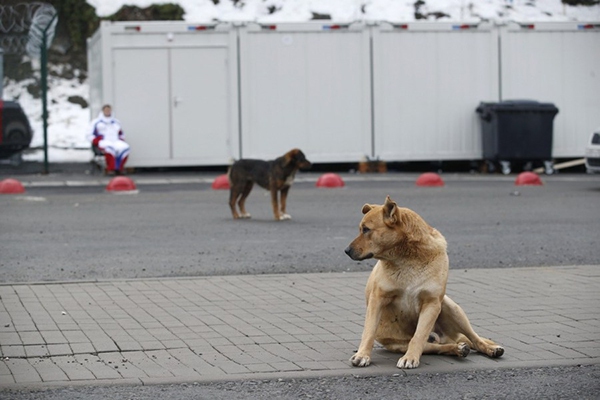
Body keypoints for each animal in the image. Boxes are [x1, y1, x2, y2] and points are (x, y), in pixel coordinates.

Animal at [344, 196, 504, 368]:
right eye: (361, 229)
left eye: (366, 229)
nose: (346, 251)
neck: (407, 259)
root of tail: (447, 337)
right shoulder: (377, 299)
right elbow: (368, 332)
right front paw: (362, 355)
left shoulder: (432, 303)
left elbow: (418, 336)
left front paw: (410, 358)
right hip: (401, 344)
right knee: (438, 347)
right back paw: (458, 349)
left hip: (452, 309)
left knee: (474, 339)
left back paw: (489, 349)